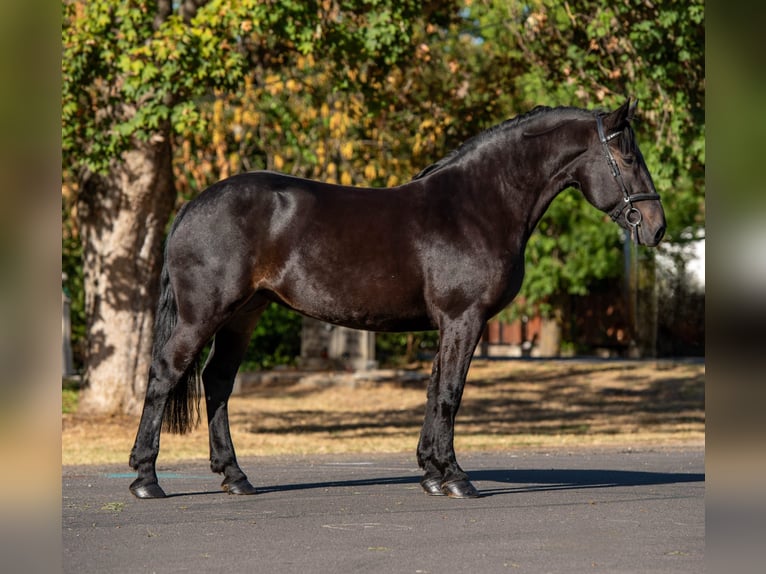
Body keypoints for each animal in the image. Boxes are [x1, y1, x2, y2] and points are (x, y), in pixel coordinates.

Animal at [129, 99, 665, 499]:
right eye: (629, 158)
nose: (656, 227)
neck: (478, 205)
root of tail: (192, 206)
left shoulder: (449, 324)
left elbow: (434, 391)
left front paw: (431, 472)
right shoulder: (464, 319)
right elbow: (450, 393)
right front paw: (456, 478)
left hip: (244, 314)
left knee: (217, 381)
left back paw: (235, 477)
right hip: (205, 314)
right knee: (165, 374)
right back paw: (146, 478)